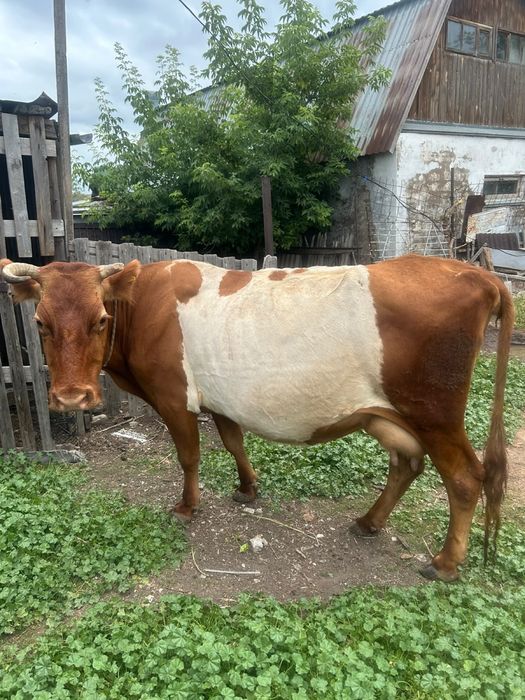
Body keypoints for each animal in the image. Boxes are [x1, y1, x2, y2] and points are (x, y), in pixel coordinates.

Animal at [1, 255, 514, 582]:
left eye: (101, 320)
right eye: (41, 323)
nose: (71, 397)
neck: (143, 304)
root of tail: (474, 273)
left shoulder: (173, 397)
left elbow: (189, 455)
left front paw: (187, 507)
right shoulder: (223, 400)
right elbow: (234, 442)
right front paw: (248, 488)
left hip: (435, 413)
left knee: (464, 479)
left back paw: (445, 563)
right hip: (388, 415)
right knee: (407, 463)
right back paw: (369, 522)